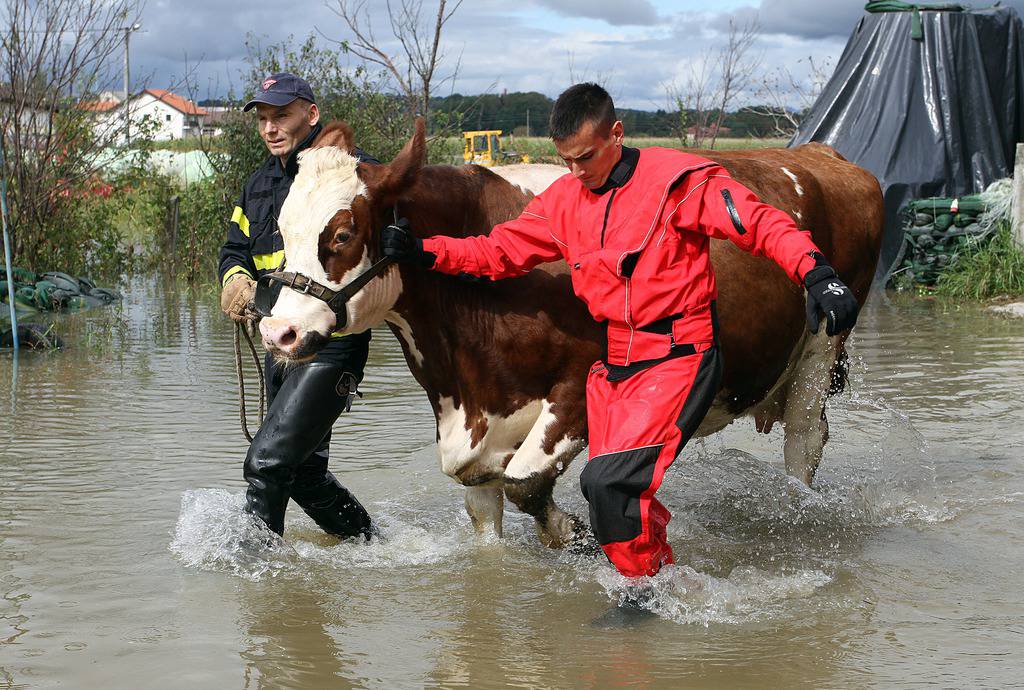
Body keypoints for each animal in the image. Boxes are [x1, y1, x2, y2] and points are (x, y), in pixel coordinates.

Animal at [260, 119, 884, 548]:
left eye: (342, 234)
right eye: (283, 229)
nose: (279, 331)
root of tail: (818, 153)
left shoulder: (577, 391)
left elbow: (527, 481)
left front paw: (576, 536)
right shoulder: (471, 440)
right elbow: (486, 516)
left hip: (820, 350)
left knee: (805, 439)